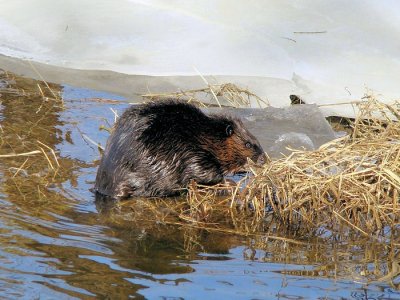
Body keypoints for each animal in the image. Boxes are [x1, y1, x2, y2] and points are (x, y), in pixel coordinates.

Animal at [94, 101, 266, 199]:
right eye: (248, 144)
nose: (264, 159)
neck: (205, 136)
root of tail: (103, 186)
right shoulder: (194, 154)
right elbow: (205, 174)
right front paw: (228, 182)